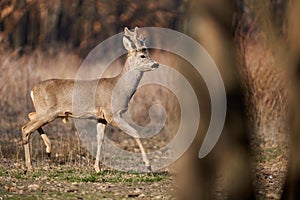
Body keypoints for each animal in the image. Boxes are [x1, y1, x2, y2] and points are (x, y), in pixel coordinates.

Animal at [21, 27, 159, 172]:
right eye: (142, 56)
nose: (156, 64)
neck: (119, 88)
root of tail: (32, 90)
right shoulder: (111, 113)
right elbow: (135, 132)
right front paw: (148, 166)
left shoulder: (102, 117)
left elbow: (100, 140)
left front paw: (97, 168)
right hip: (47, 112)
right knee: (25, 128)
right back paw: (30, 165)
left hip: (45, 112)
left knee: (30, 115)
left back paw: (48, 149)